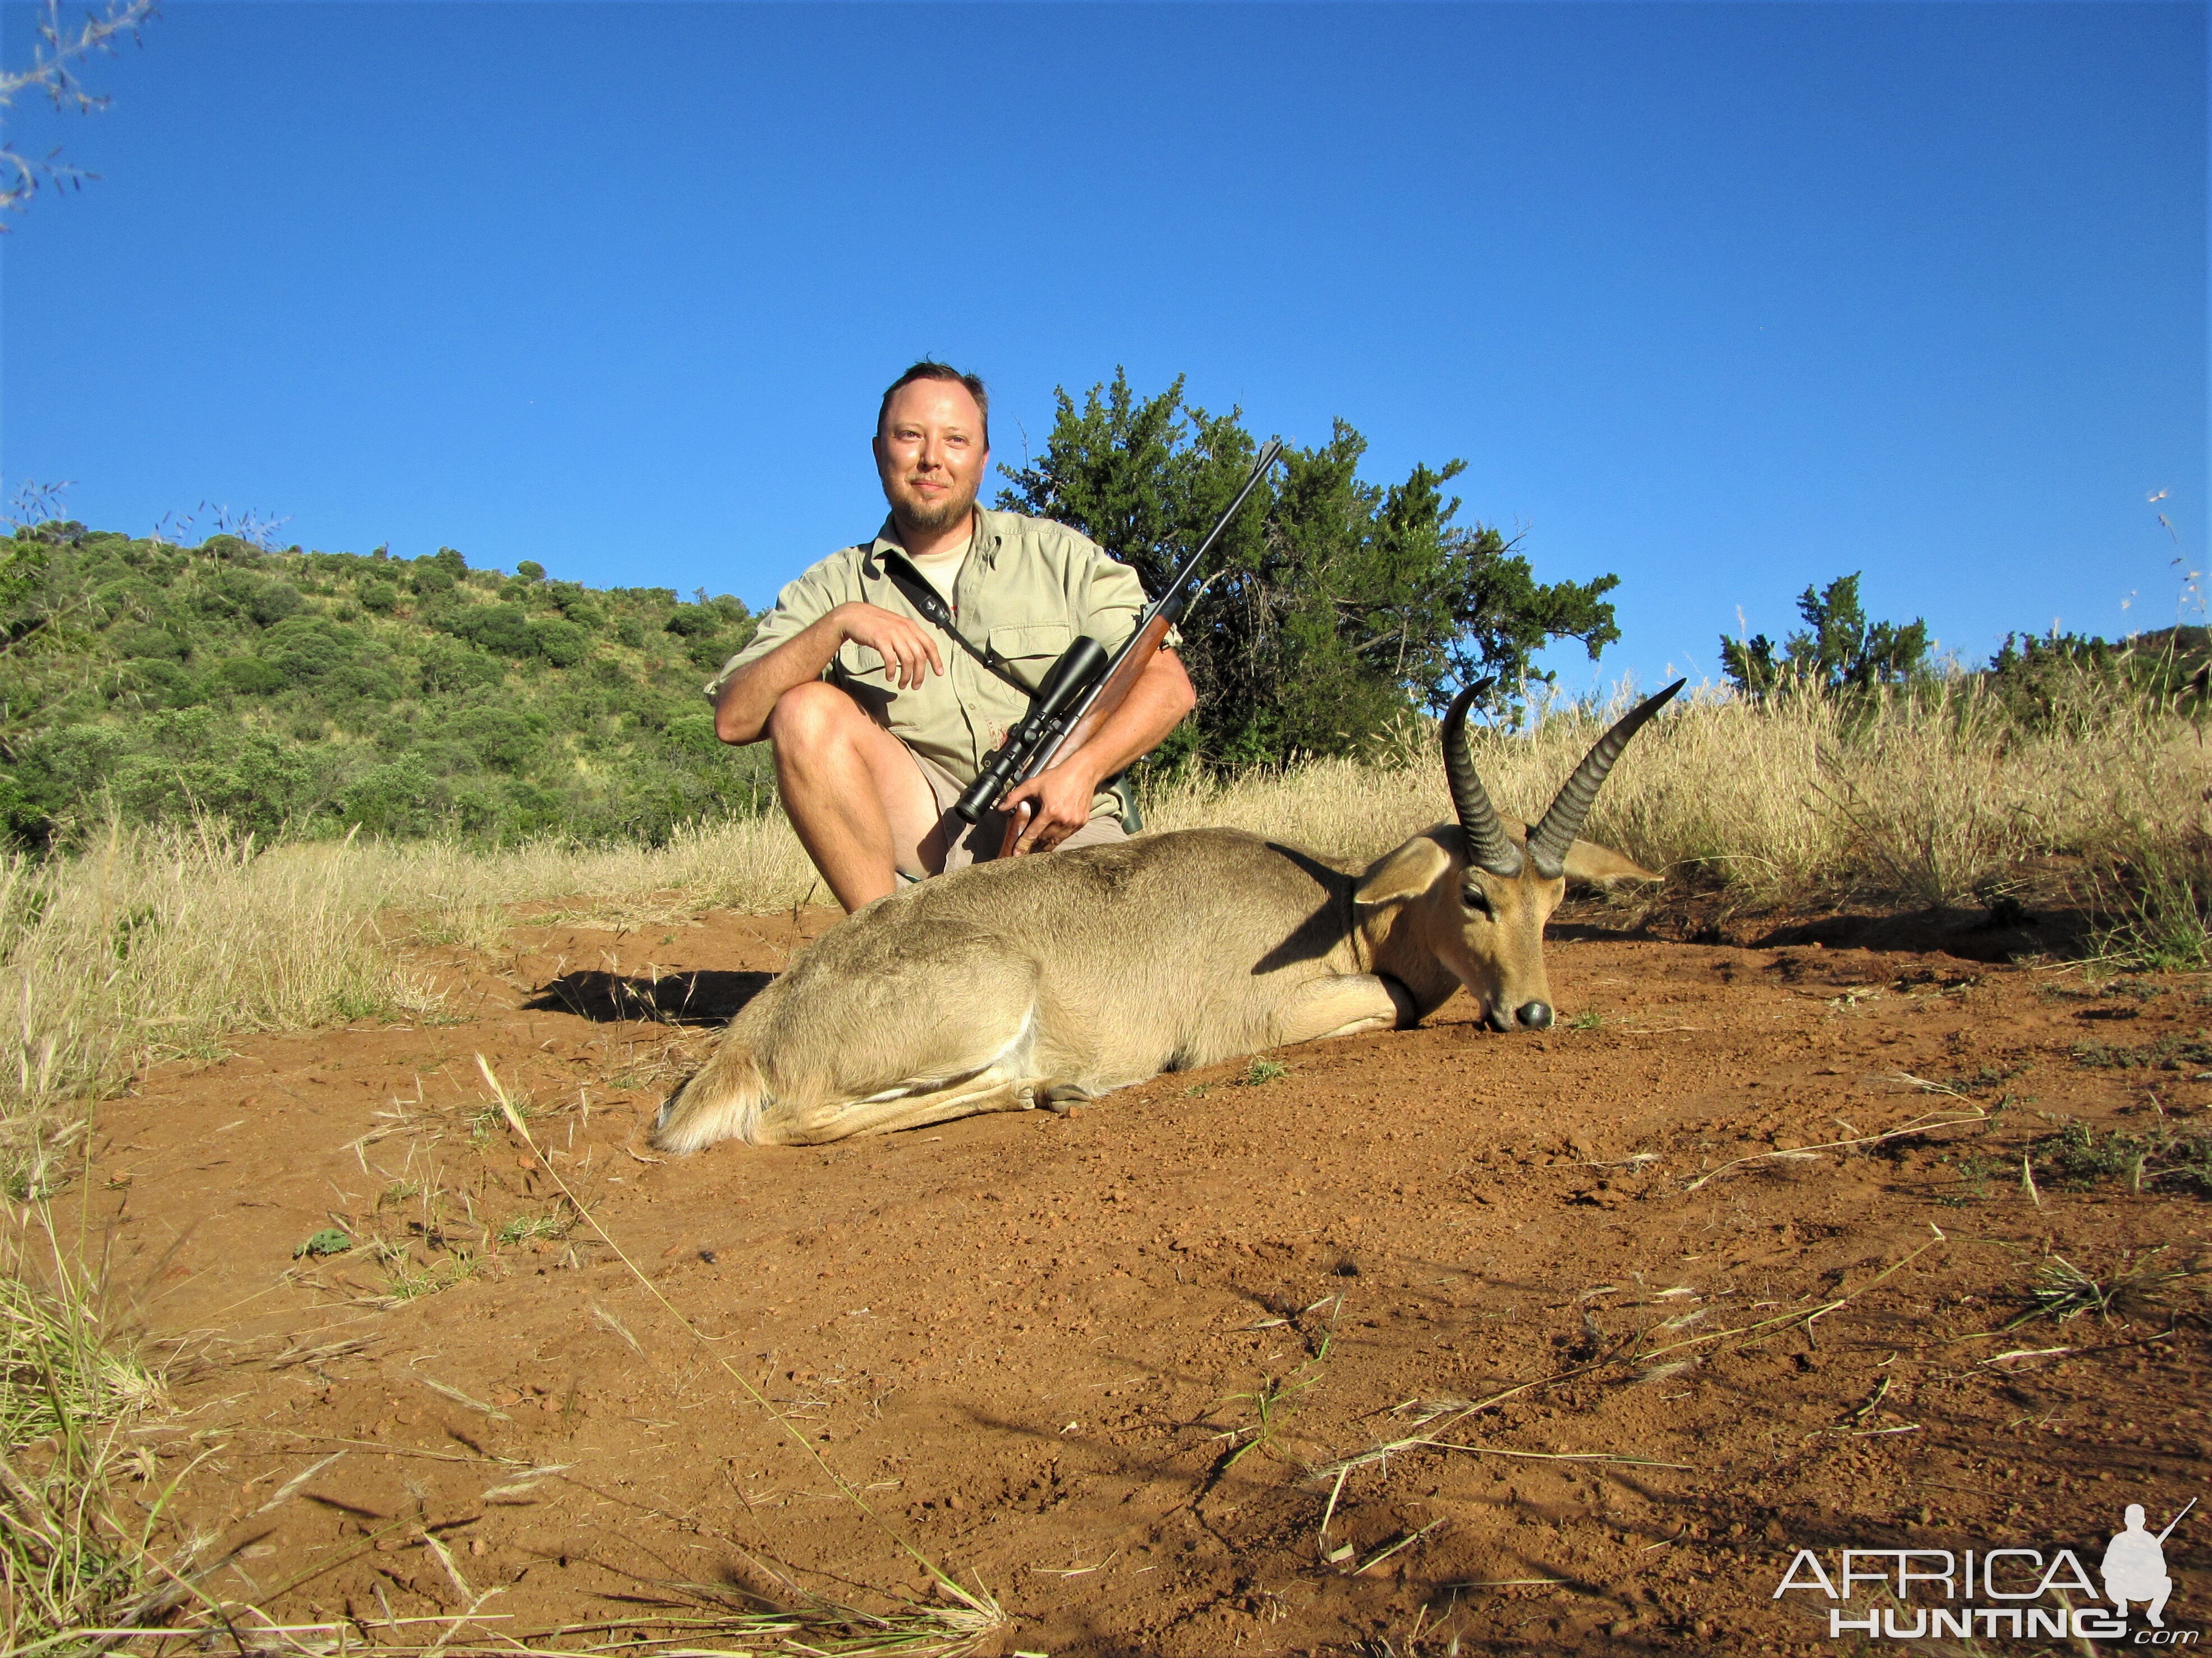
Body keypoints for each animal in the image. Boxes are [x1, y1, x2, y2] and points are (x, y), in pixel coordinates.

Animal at [646, 681, 1681, 1149]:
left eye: (1555, 898)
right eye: (1474, 892)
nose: (1533, 1011)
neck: (1338, 905)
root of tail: (760, 1025)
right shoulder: (1247, 1019)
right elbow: (1389, 998)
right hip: (983, 1003)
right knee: (790, 1123)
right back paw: (1052, 1087)